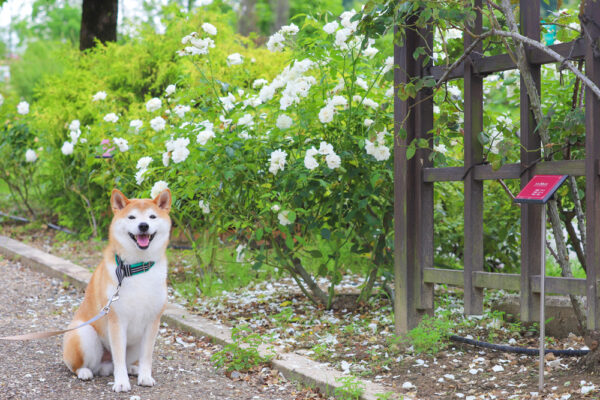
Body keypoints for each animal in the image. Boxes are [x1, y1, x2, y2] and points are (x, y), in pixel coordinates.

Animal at [62, 189, 171, 392]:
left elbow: (147, 357)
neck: (137, 268)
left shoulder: (153, 322)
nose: (143, 226)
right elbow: (118, 357)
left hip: (134, 343)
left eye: (152, 216)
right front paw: (121, 382)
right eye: (132, 217)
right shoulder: (116, 321)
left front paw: (145, 376)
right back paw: (84, 372)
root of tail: (104, 366)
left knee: (125, 361)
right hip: (84, 333)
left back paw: (133, 368)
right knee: (78, 365)